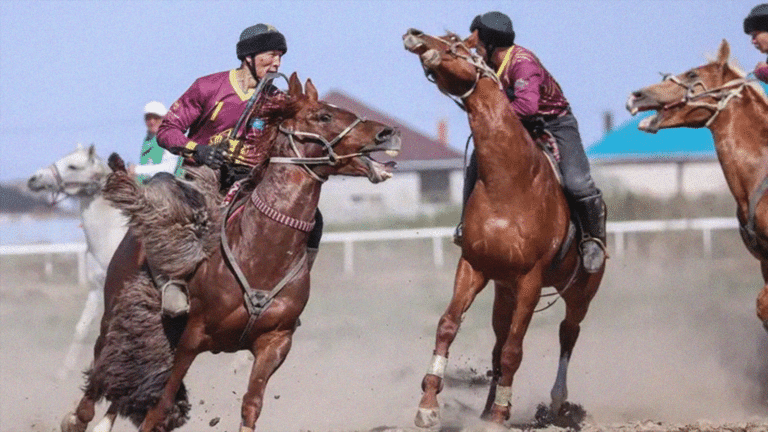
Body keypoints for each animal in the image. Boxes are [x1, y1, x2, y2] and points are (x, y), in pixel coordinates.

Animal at [27, 143, 127, 380]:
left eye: (73, 166)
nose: (34, 179)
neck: (111, 236)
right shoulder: (97, 288)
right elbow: (82, 328)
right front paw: (64, 370)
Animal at [60, 72, 402, 430]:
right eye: (323, 116)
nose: (387, 132)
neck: (262, 253)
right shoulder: (192, 338)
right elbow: (160, 404)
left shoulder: (276, 342)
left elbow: (251, 405)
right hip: (115, 310)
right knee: (101, 370)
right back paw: (78, 417)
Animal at [402, 27, 608, 428]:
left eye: (458, 44)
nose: (415, 34)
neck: (509, 182)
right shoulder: (474, 266)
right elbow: (449, 326)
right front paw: (429, 405)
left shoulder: (531, 280)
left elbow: (515, 349)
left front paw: (501, 414)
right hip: (504, 290)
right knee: (499, 343)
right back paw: (486, 409)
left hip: (580, 293)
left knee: (567, 334)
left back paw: (556, 403)